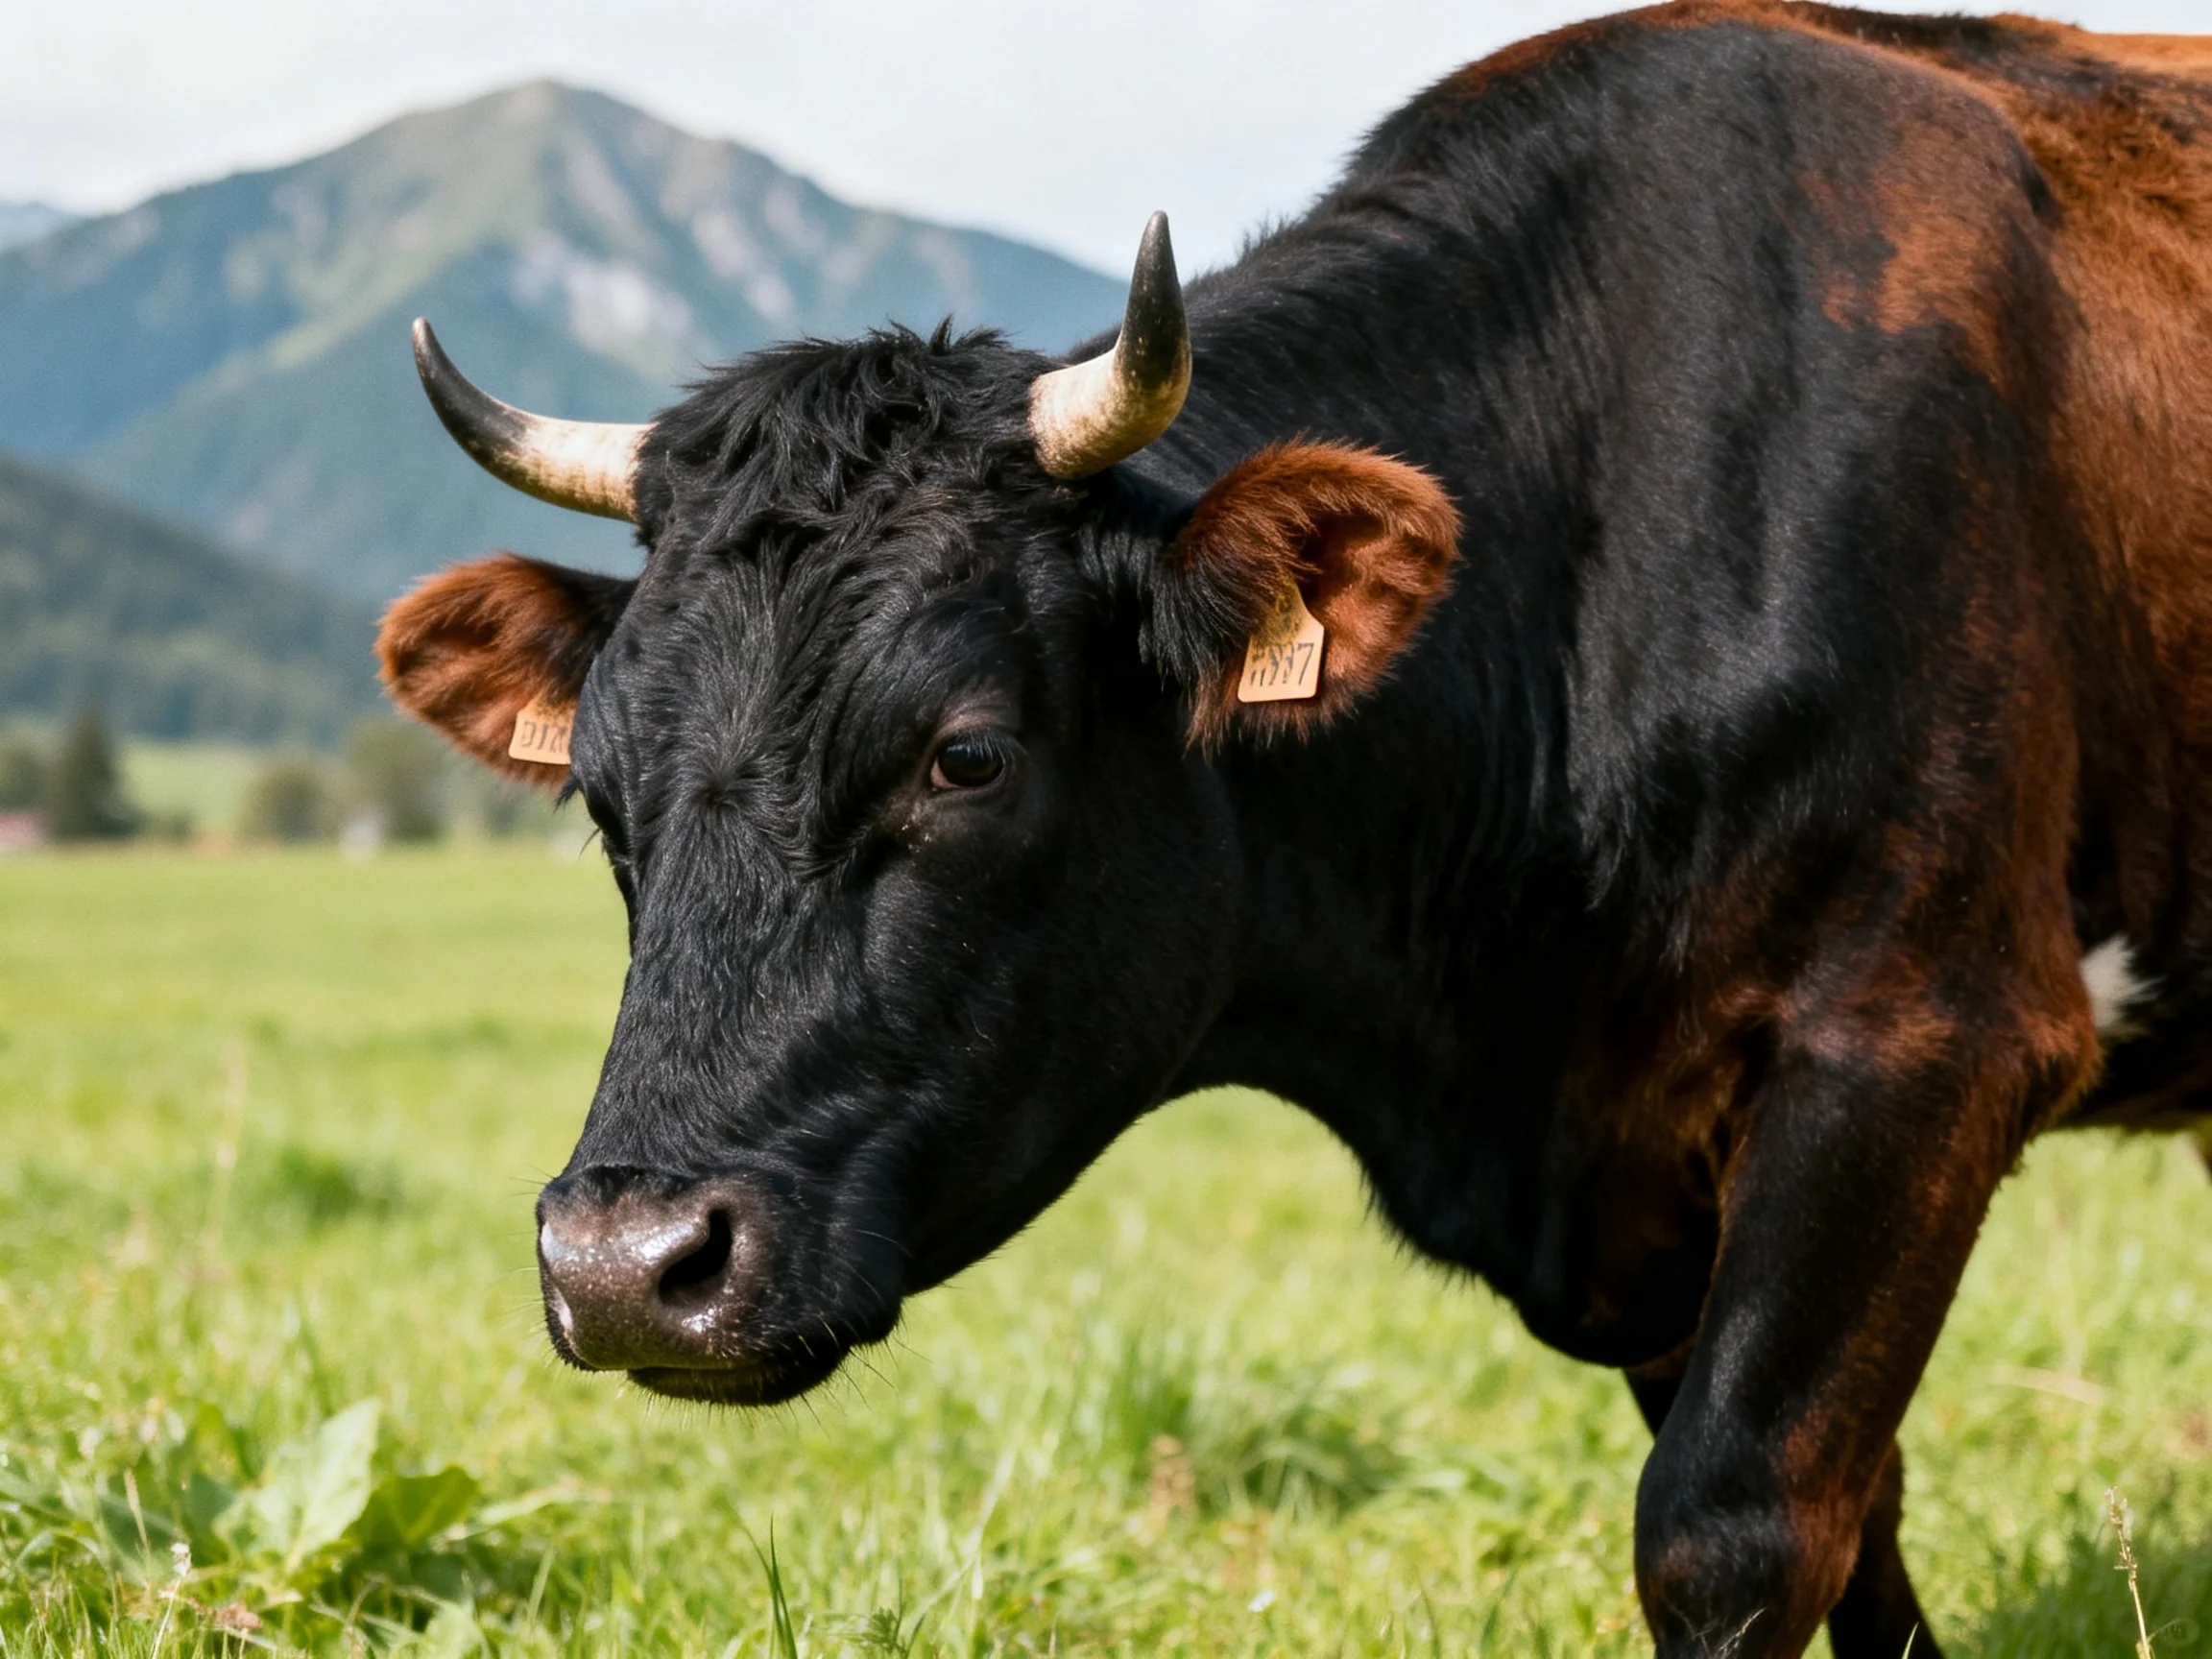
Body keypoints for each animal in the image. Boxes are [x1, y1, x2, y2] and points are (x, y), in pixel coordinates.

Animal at [375, 4, 2212, 1653]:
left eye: (964, 756)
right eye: (600, 786)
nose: (623, 1262)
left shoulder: (1922, 1034)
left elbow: (1741, 1525)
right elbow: (1858, 1513)